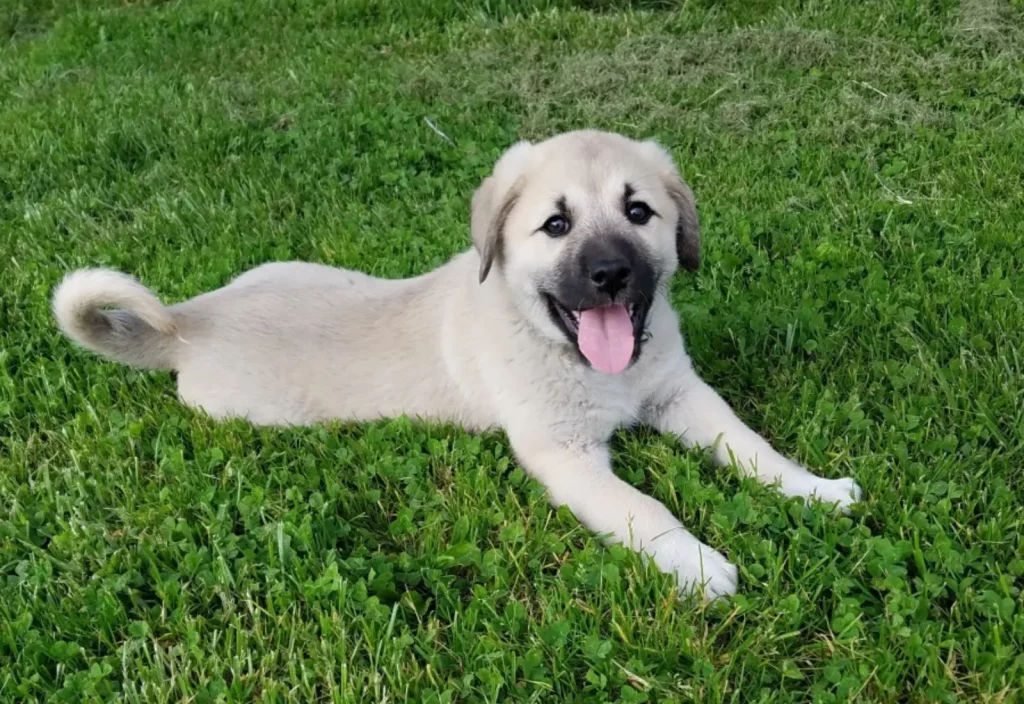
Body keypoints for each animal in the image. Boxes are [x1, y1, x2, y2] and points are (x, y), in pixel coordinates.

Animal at [51, 129, 860, 597]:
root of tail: (189, 322)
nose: (609, 275)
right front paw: (695, 562)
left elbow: (752, 448)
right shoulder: (563, 455)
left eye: (639, 213)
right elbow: (643, 506)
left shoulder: (680, 394)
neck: (578, 357)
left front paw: (814, 489)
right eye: (556, 225)